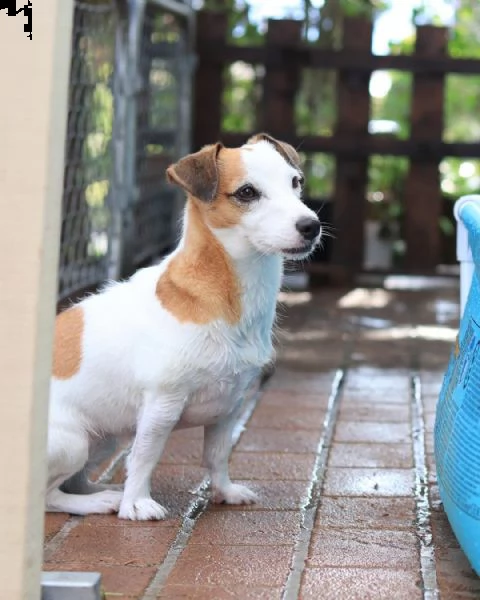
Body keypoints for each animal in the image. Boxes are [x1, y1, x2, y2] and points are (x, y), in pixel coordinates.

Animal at [47, 134, 322, 516]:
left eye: (296, 182)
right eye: (247, 192)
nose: (311, 225)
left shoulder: (229, 408)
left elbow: (217, 456)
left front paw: (225, 491)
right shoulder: (161, 407)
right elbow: (143, 458)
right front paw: (137, 504)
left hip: (103, 438)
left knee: (75, 481)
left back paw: (103, 492)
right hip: (72, 443)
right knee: (50, 497)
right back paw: (102, 502)